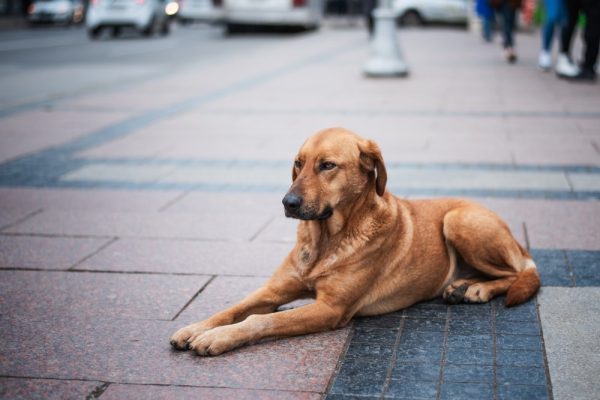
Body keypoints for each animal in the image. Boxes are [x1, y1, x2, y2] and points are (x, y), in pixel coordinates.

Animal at [169, 127, 540, 356]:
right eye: (298, 164)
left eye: (327, 165)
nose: (288, 203)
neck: (326, 240)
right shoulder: (274, 290)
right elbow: (234, 309)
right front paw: (197, 327)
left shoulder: (331, 309)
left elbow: (261, 320)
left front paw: (217, 338)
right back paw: (463, 285)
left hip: (458, 220)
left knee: (520, 273)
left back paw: (477, 289)